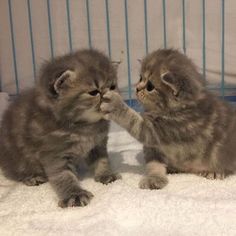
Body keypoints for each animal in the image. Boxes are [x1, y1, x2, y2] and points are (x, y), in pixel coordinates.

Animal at [0, 48, 121, 206]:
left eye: (113, 87)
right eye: (94, 92)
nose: (111, 97)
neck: (85, 127)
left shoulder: (98, 144)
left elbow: (102, 160)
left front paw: (106, 174)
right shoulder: (53, 153)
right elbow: (62, 176)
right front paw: (74, 194)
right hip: (17, 158)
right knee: (17, 171)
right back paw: (31, 177)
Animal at [100, 48, 236, 190]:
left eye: (150, 87)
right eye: (140, 77)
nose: (136, 88)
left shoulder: (168, 129)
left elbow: (135, 122)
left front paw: (115, 104)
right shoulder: (153, 148)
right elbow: (153, 164)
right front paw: (154, 178)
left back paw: (215, 171)